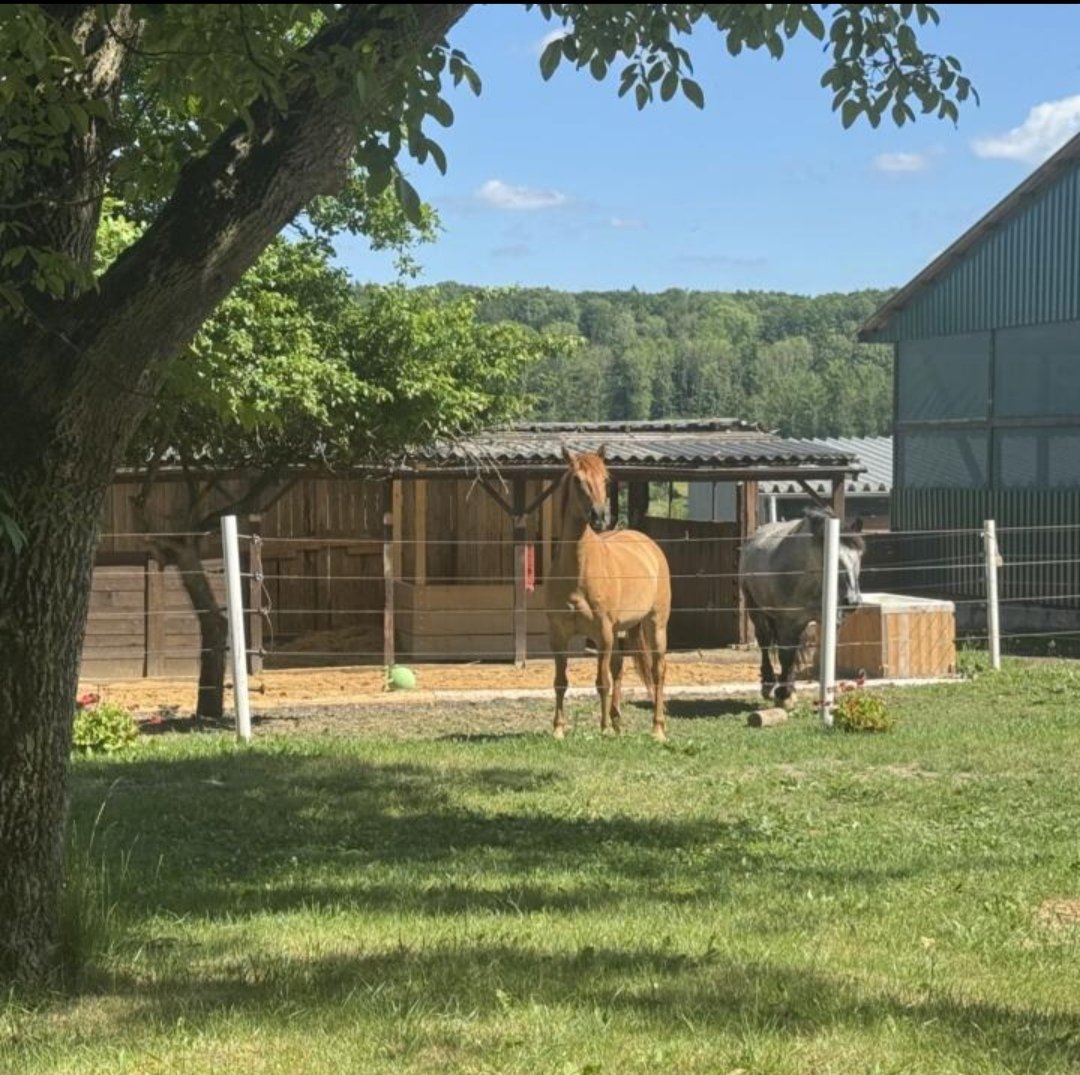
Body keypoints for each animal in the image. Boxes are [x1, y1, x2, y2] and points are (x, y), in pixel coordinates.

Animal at [545, 447, 673, 740]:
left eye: (605, 479)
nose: (599, 516)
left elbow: (601, 681)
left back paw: (657, 728)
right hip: (619, 631)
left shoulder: (601, 632)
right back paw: (617, 722)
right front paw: (558, 729)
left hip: (655, 624)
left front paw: (602, 729)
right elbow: (560, 681)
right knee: (619, 670)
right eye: (577, 480)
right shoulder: (558, 635)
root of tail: (649, 545)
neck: (578, 571)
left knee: (657, 671)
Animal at [738, 507, 864, 703]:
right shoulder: (787, 622)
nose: (852, 601)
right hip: (755, 608)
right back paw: (769, 683)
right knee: (765, 642)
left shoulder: (829, 622)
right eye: (835, 559)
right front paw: (784, 694)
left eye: (860, 556)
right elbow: (785, 655)